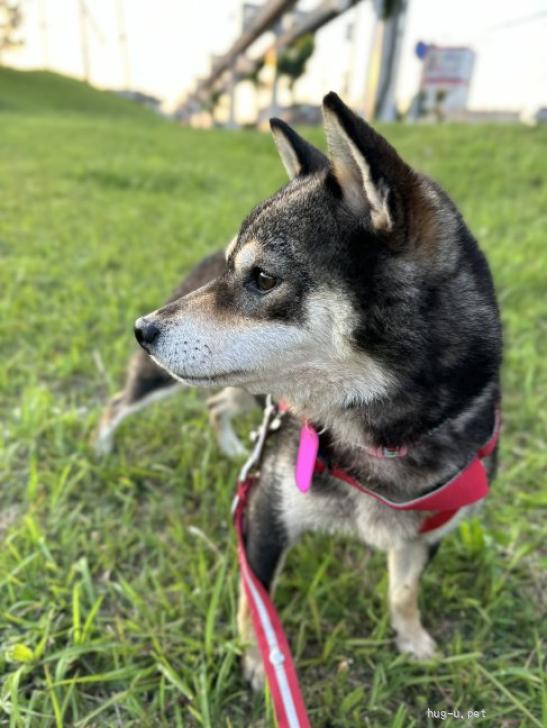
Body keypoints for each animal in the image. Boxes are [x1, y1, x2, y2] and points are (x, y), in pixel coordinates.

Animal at [132, 92, 500, 688]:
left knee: (217, 405)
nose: (142, 329)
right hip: (163, 386)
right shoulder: (266, 512)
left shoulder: (428, 531)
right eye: (238, 270)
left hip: (247, 394)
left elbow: (404, 591)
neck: (382, 441)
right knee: (117, 407)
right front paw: (261, 661)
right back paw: (102, 446)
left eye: (262, 278)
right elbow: (257, 603)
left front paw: (412, 639)